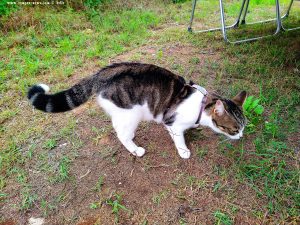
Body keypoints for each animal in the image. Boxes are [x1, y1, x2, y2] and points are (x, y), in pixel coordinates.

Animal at [27, 62, 246, 159]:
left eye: (244, 127)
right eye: (235, 129)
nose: (242, 136)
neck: (202, 105)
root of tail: (100, 74)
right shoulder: (173, 122)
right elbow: (179, 139)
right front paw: (183, 150)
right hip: (131, 113)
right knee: (121, 134)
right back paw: (134, 148)